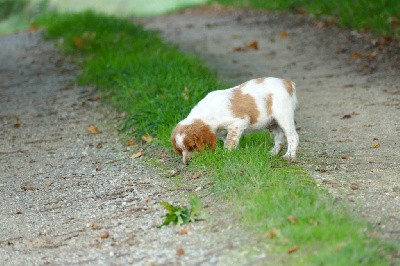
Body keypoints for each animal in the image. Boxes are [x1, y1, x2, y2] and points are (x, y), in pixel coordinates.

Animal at [170, 76, 298, 164]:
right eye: (180, 150)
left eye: (192, 147)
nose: (187, 163)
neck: (208, 113)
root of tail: (288, 82)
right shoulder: (223, 132)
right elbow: (228, 140)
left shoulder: (238, 123)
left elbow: (229, 143)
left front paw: (225, 154)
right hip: (273, 123)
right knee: (280, 139)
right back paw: (272, 153)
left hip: (283, 117)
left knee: (293, 137)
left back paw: (289, 156)